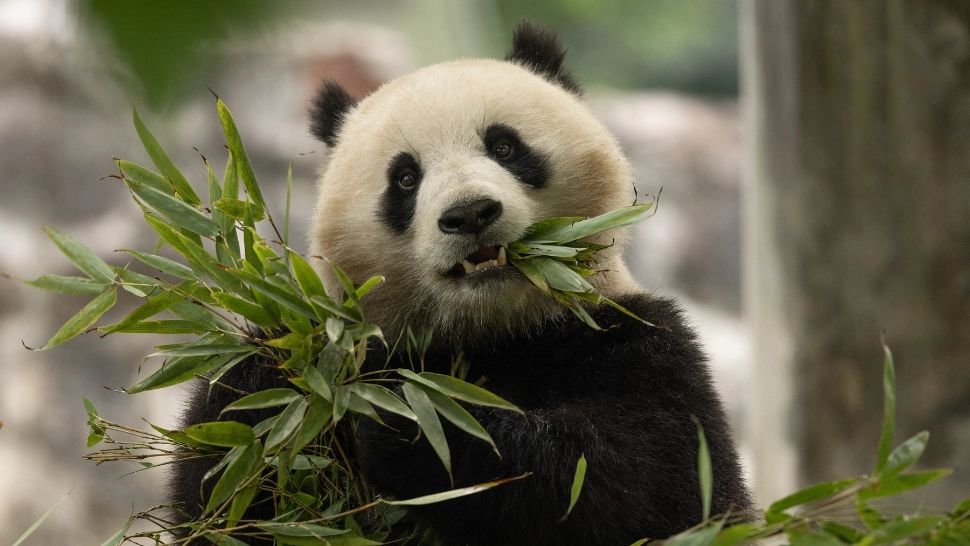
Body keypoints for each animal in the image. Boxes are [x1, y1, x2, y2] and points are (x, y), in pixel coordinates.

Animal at [171, 22, 753, 546]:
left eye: (505, 146)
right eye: (405, 179)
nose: (470, 213)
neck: (491, 332)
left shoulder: (634, 339)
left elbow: (652, 482)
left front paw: (409, 421)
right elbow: (221, 493)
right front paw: (276, 383)